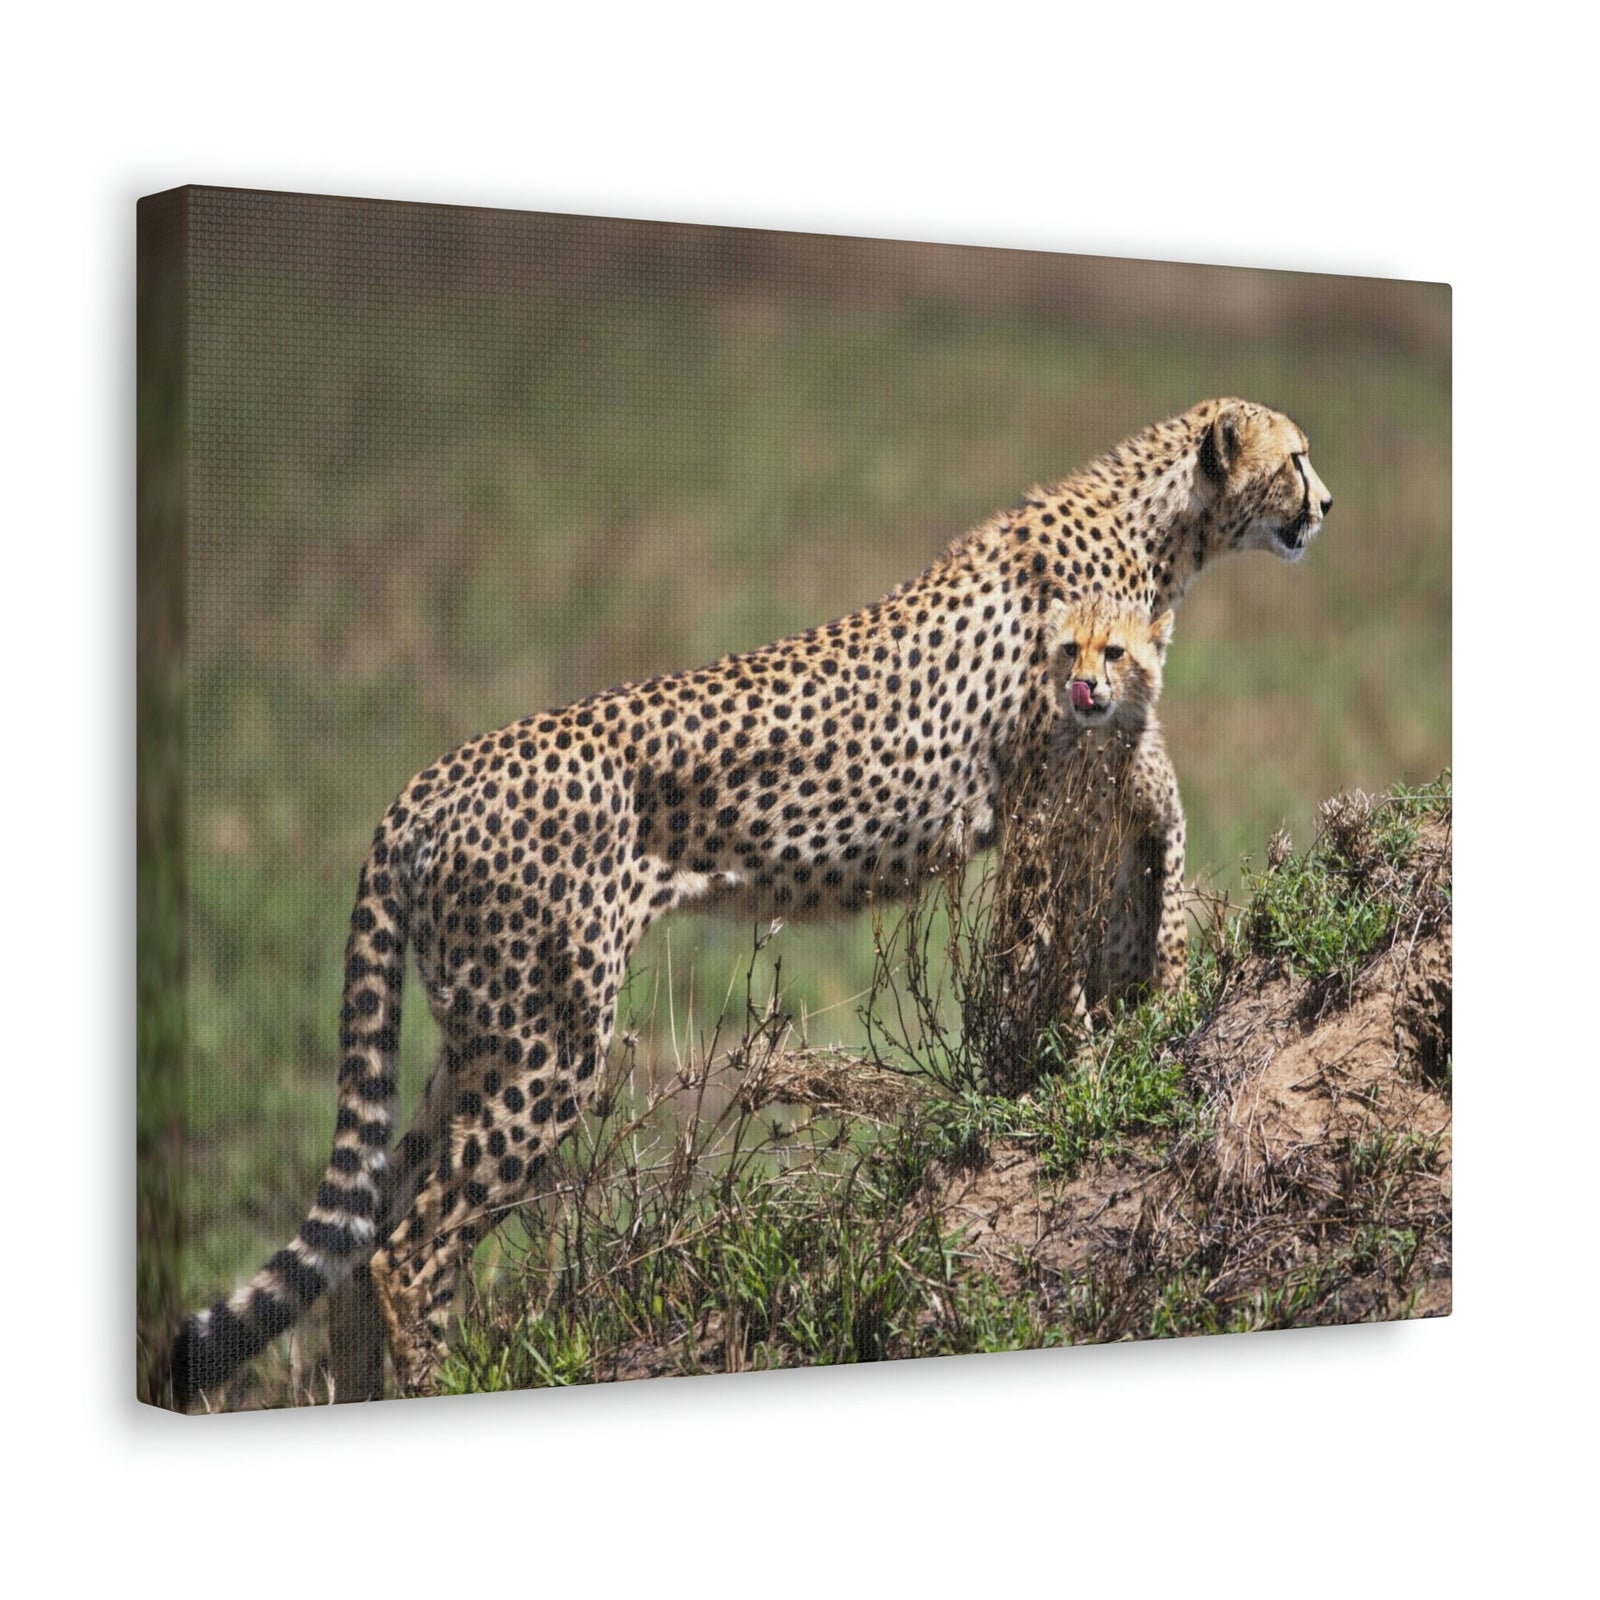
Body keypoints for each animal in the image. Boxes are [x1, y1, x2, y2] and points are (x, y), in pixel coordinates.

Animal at [169, 396, 1331, 1406]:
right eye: (1298, 455)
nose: (1324, 504)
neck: (1159, 526)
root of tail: (423, 783)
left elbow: (1138, 889)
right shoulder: (1045, 803)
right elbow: (1041, 953)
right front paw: (1049, 1083)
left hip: (483, 1030)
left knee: (369, 1233)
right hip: (550, 1037)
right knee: (411, 1246)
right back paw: (441, 1387)